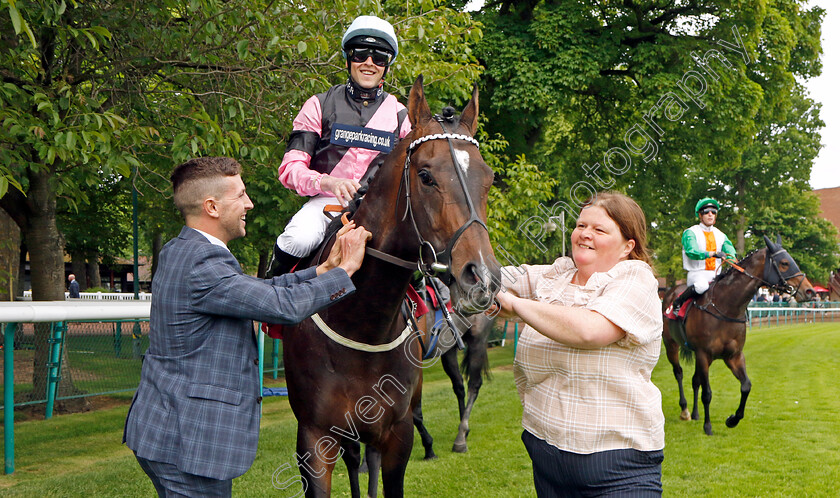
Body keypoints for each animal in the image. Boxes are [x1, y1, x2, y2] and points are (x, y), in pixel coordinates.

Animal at [282, 76, 506, 496]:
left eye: (487, 179)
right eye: (426, 176)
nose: (482, 277)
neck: (361, 323)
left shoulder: (397, 435)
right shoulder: (315, 439)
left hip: (474, 340)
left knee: (469, 383)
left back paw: (460, 436)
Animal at [664, 235, 812, 434]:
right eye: (784, 263)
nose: (810, 291)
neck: (726, 307)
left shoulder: (733, 355)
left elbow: (746, 386)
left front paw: (733, 419)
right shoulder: (704, 354)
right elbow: (707, 393)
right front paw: (708, 426)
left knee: (695, 380)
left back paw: (694, 414)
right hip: (671, 345)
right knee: (679, 373)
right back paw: (685, 410)